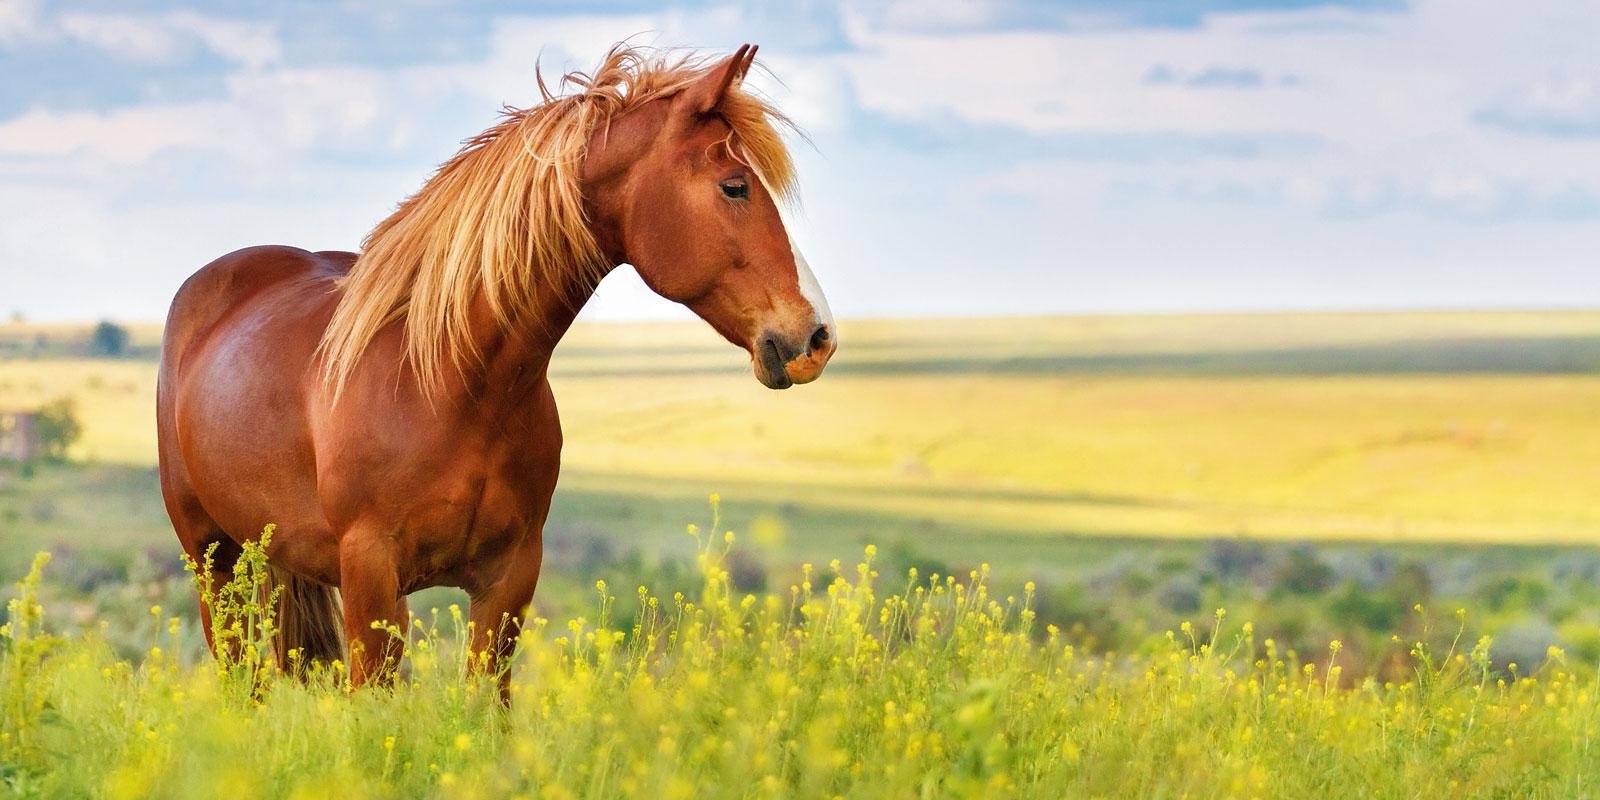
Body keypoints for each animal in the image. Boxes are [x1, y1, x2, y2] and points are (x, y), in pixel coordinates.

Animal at [155, 43, 835, 698]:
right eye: (735, 186)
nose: (817, 336)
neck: (452, 385)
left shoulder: (508, 579)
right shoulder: (370, 576)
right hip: (213, 562)